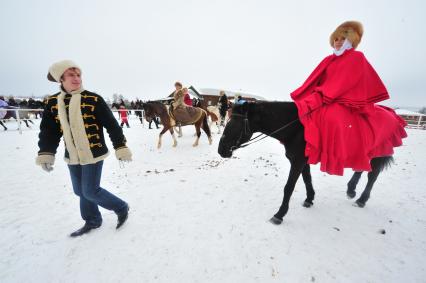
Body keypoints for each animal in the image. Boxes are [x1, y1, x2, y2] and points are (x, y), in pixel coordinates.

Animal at [218, 101, 394, 225]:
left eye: (234, 123)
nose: (221, 150)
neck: (298, 127)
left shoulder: (297, 161)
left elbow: (289, 187)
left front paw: (279, 214)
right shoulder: (301, 161)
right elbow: (307, 179)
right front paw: (309, 199)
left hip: (377, 155)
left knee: (372, 176)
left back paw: (362, 200)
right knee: (361, 170)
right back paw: (351, 190)